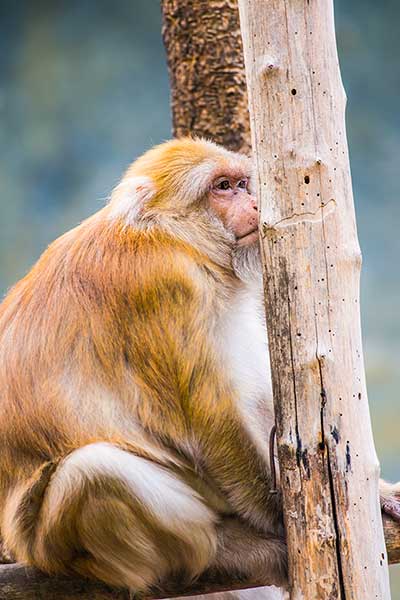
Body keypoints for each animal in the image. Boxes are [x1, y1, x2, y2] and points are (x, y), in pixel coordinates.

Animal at [0, 137, 398, 600]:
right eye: (222, 187)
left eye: (242, 183)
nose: (256, 203)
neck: (171, 236)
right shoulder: (169, 284)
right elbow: (209, 418)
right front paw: (283, 517)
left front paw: (376, 493)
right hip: (54, 545)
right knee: (94, 473)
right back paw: (225, 552)